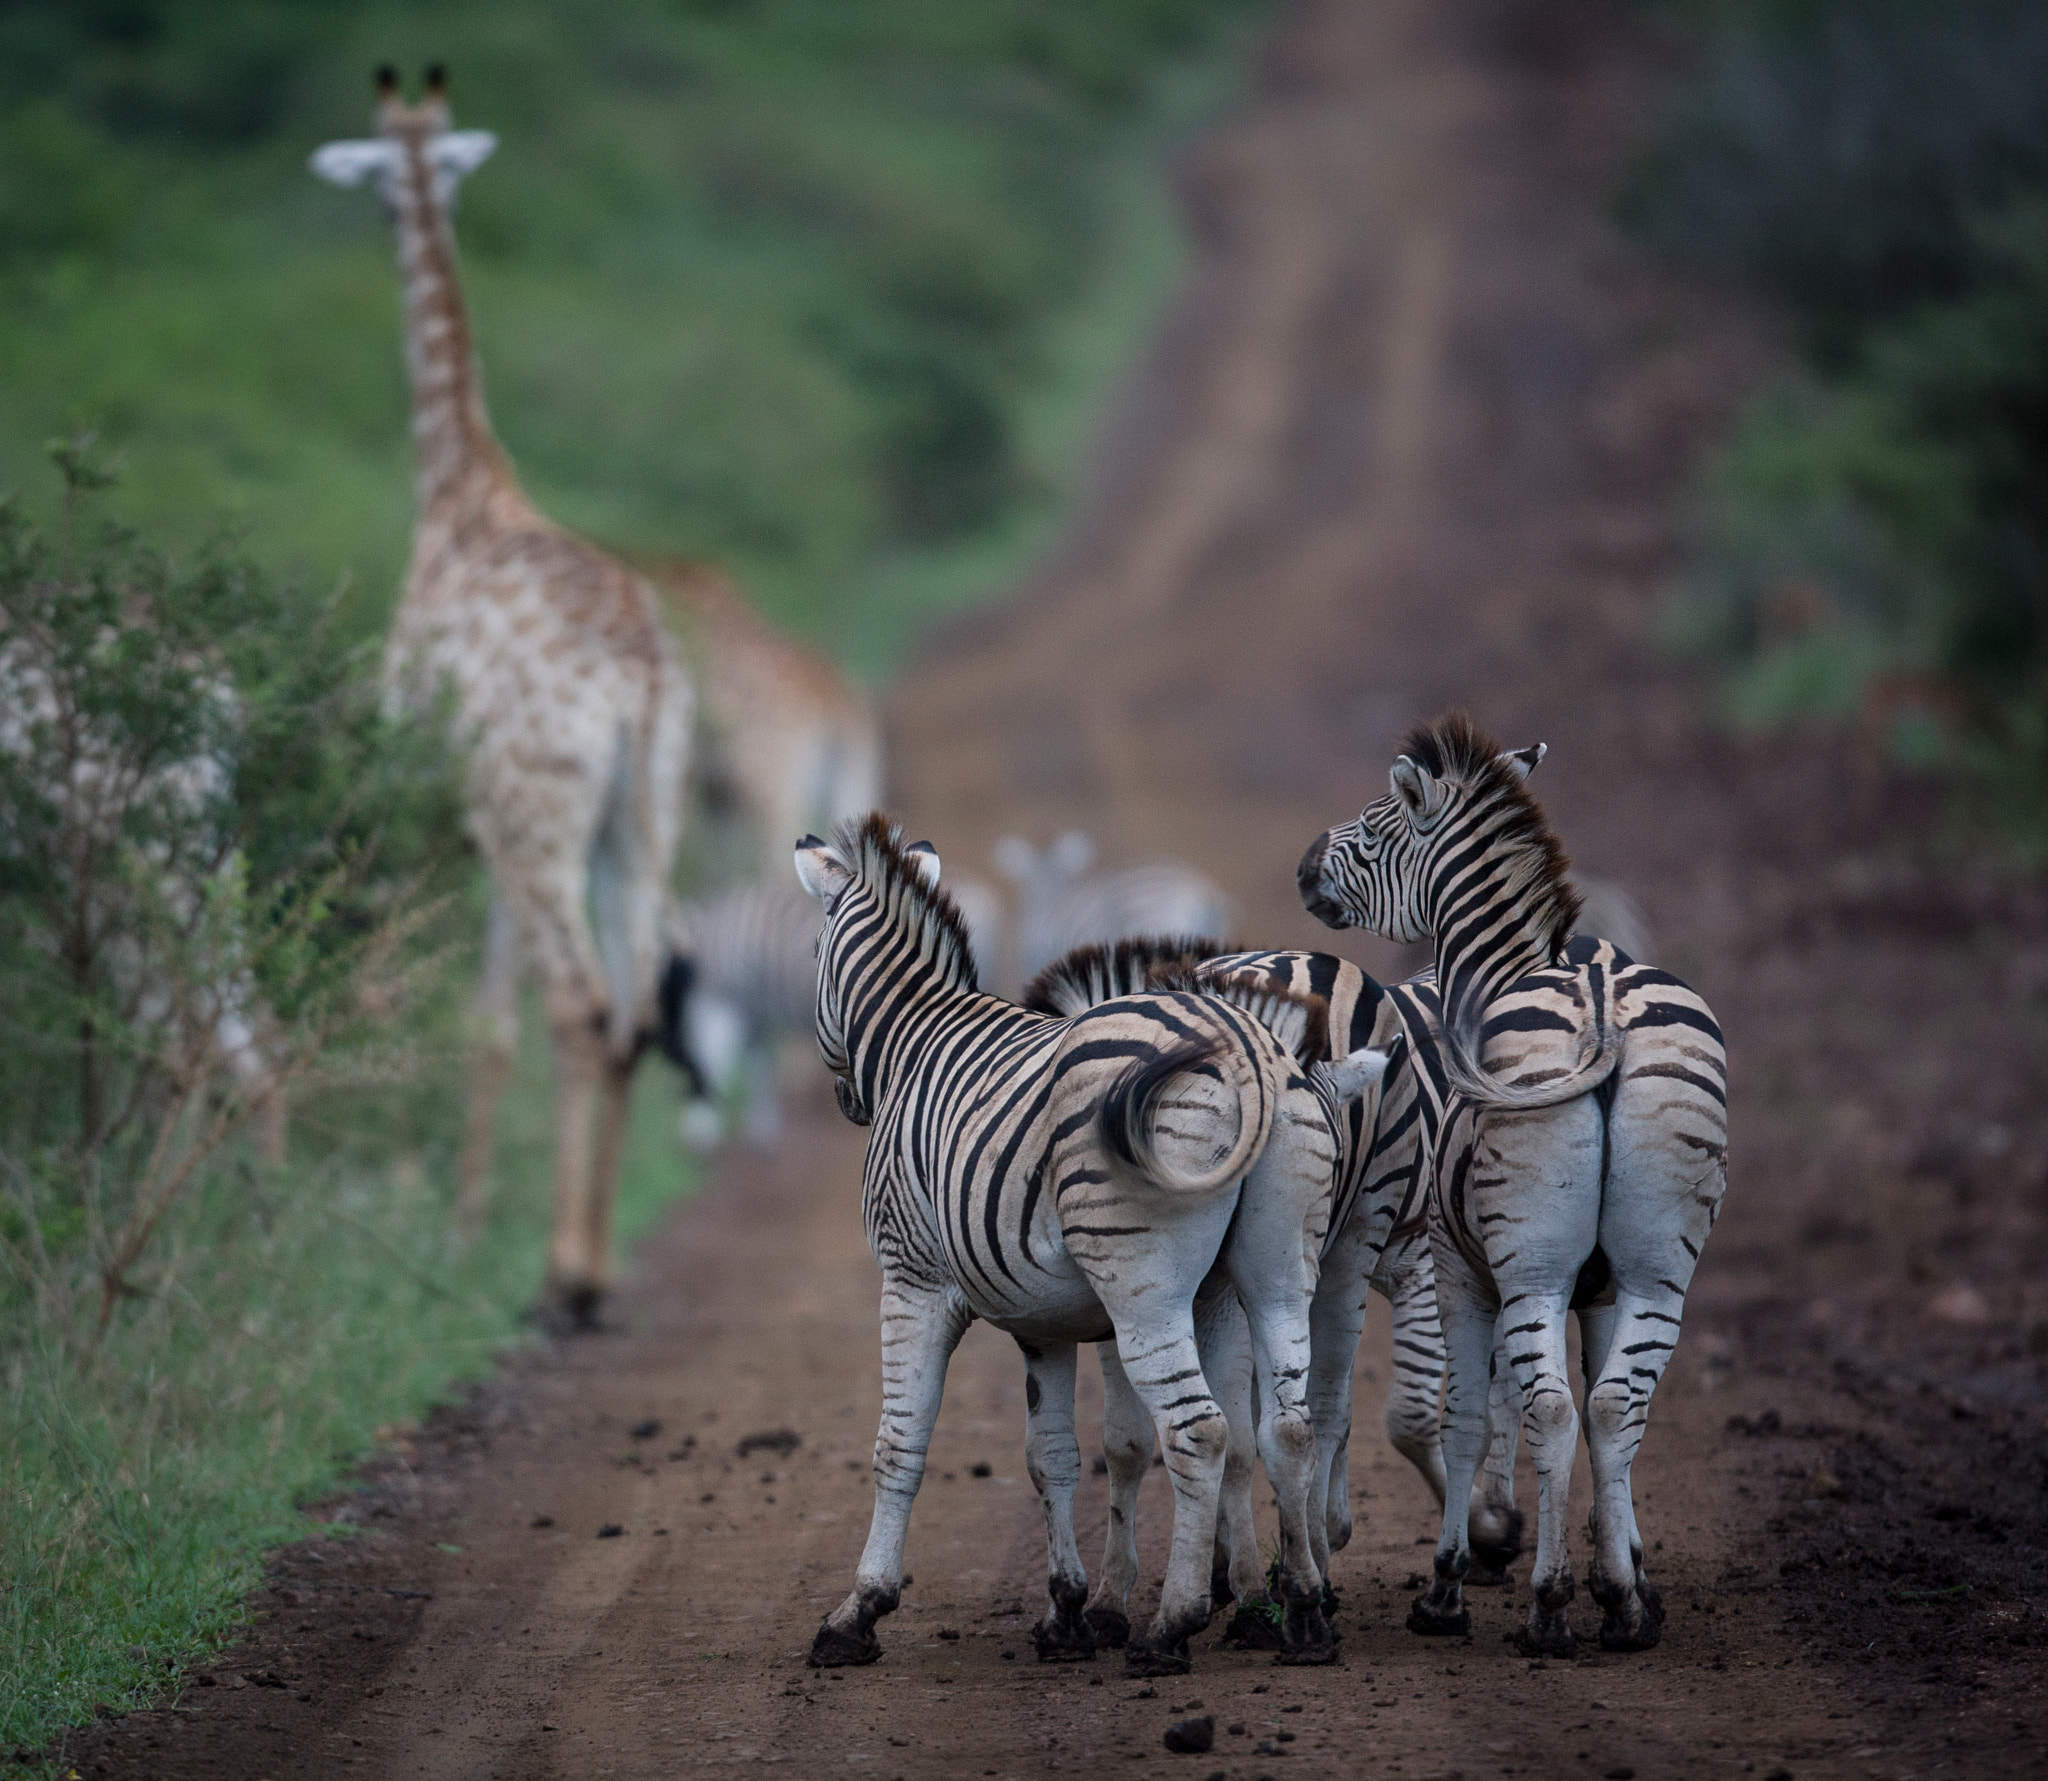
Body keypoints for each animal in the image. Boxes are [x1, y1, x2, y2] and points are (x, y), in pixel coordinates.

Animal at [311, 66, 692, 1326]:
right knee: (634, 1005)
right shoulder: (485, 818)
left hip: (541, 815)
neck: (456, 483)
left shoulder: (445, 801)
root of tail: (641, 679)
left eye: (383, 187)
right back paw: (597, 1266)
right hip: (638, 817)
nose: (388, 216)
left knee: (579, 1003)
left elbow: (480, 1017)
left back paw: (563, 1274)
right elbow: (491, 1019)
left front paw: (461, 1230)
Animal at [1294, 712, 1728, 1662]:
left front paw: (1450, 1582)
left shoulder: (1460, 1266)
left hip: (1527, 1266)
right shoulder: (1601, 1287)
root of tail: (1602, 998)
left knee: (1553, 1410)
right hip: (1658, 1266)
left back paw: (1548, 1604)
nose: (1303, 867)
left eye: (1375, 828)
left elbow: (1463, 1417)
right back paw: (1614, 1606)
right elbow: (1608, 1423)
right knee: (1613, 1405)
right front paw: (1628, 1570)